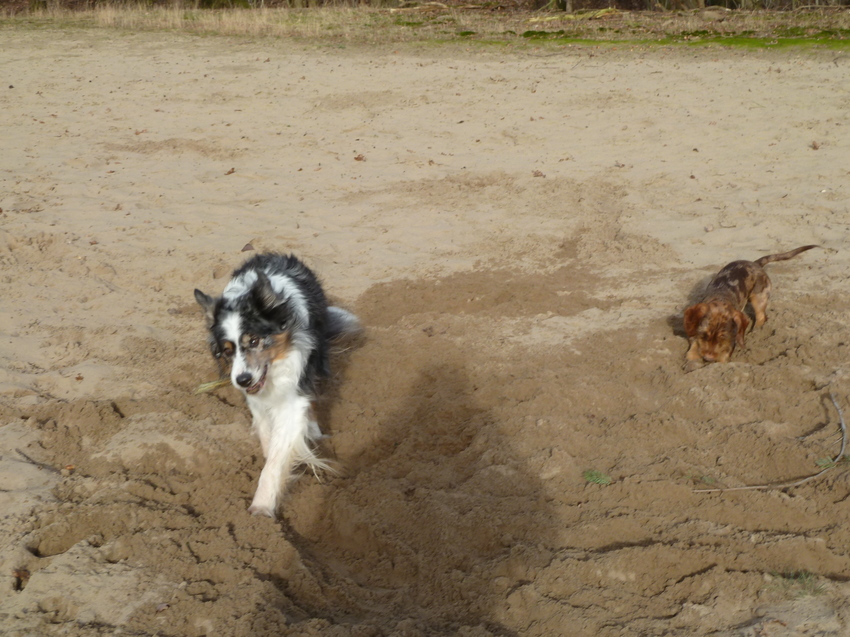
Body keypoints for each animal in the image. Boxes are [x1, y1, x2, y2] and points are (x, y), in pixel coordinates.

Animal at [194, 253, 360, 517]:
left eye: (254, 340)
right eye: (227, 351)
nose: (242, 380)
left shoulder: (293, 394)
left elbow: (277, 454)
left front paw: (262, 507)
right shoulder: (256, 399)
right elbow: (266, 435)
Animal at [683, 245, 818, 366]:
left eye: (724, 337)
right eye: (704, 335)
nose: (708, 358)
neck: (721, 297)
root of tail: (754, 263)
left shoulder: (731, 341)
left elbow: (724, 355)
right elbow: (693, 345)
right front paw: (693, 359)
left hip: (759, 296)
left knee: (761, 316)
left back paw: (756, 332)